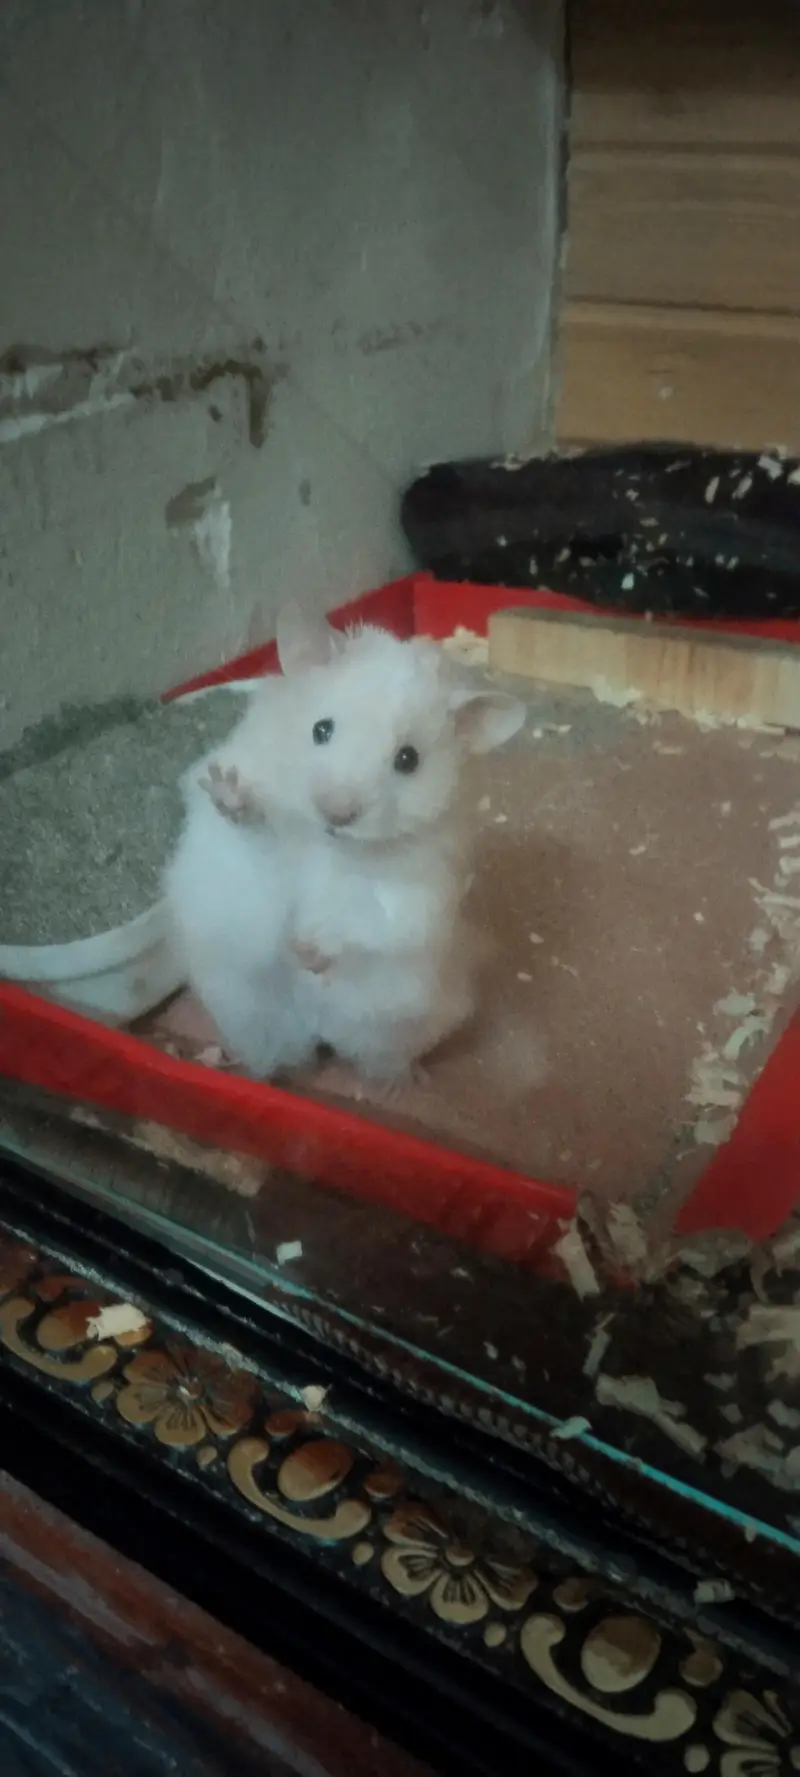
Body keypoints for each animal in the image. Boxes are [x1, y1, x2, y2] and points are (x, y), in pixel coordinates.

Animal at [164, 606, 525, 1086]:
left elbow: (361, 923)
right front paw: (229, 791)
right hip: (248, 1011)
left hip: (398, 1026)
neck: (329, 845)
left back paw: (407, 1080)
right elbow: (258, 834)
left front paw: (307, 950)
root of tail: (318, 1030)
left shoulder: (411, 897)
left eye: (408, 759)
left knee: (379, 1058)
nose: (335, 814)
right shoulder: (261, 856)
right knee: (278, 1057)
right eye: (321, 729)